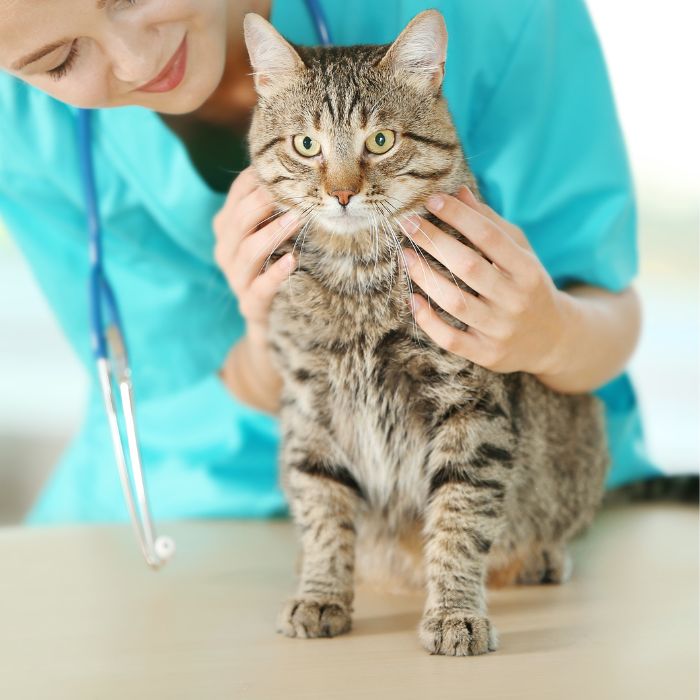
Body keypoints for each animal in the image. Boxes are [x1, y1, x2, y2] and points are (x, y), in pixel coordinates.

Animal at [241, 8, 608, 656]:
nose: (341, 192)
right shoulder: (309, 408)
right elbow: (321, 508)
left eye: (380, 141)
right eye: (306, 145)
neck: (357, 277)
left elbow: (458, 519)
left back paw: (540, 557)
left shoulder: (468, 406)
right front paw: (321, 593)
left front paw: (455, 611)